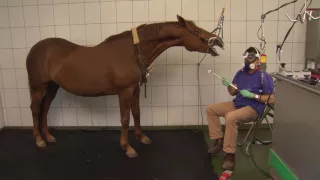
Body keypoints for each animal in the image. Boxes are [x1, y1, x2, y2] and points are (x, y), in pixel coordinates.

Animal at [26, 15, 224, 158]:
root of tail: (35, 49)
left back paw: (48, 136)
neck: (132, 52)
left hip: (52, 86)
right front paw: (127, 147)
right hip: (38, 88)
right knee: (35, 109)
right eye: (195, 30)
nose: (218, 41)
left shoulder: (135, 89)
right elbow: (124, 118)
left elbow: (136, 112)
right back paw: (39, 139)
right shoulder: (125, 91)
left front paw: (141, 137)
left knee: (45, 108)